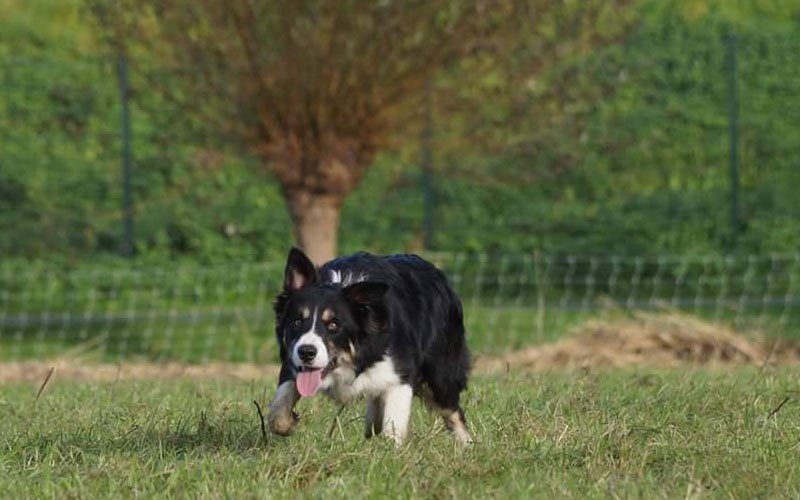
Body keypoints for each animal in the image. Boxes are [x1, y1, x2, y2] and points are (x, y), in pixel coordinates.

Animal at [268, 247, 468, 446]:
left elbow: (392, 427)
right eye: (297, 322)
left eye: (333, 325)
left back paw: (466, 443)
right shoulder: (291, 360)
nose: (306, 352)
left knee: (452, 409)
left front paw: (388, 448)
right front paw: (289, 423)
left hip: (440, 376)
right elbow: (278, 414)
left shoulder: (401, 374)